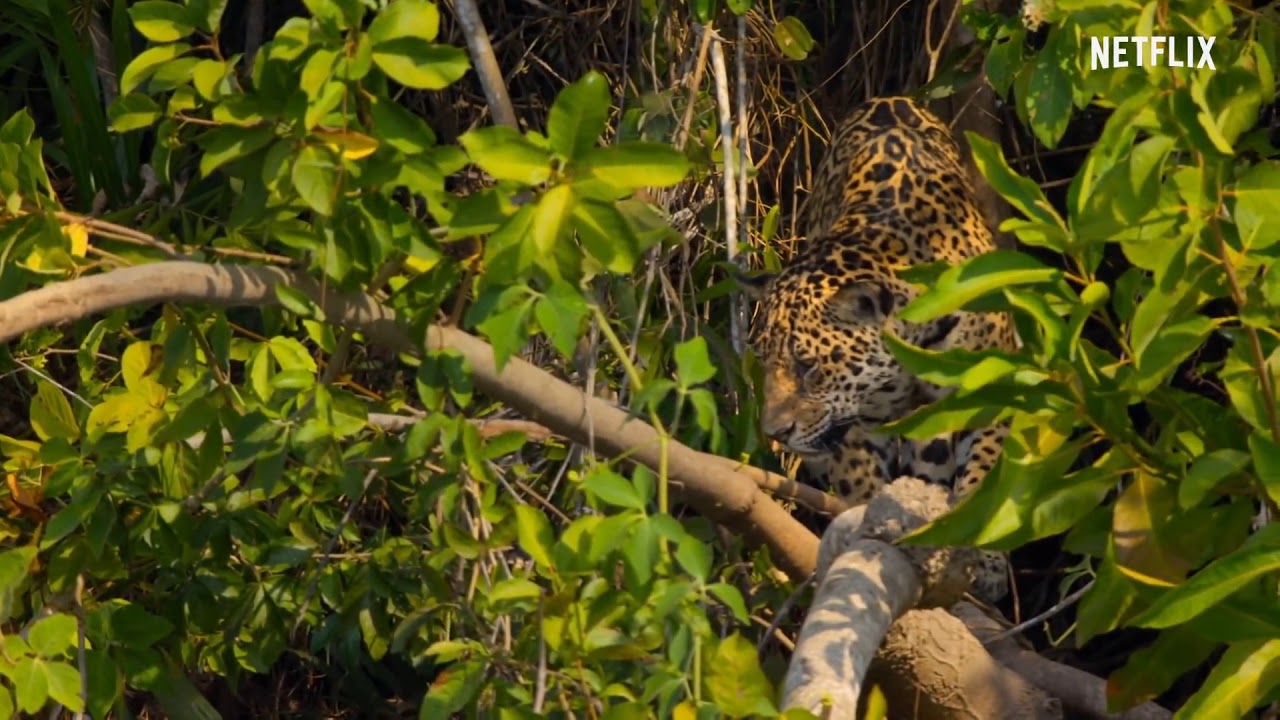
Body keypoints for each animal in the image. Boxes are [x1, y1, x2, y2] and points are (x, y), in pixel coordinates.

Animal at [738, 96, 1018, 604]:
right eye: (765, 363)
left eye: (808, 367)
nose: (775, 432)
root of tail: (889, 100)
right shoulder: (855, 420)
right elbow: (860, 476)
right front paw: (871, 524)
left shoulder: (991, 392)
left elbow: (984, 479)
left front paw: (985, 562)